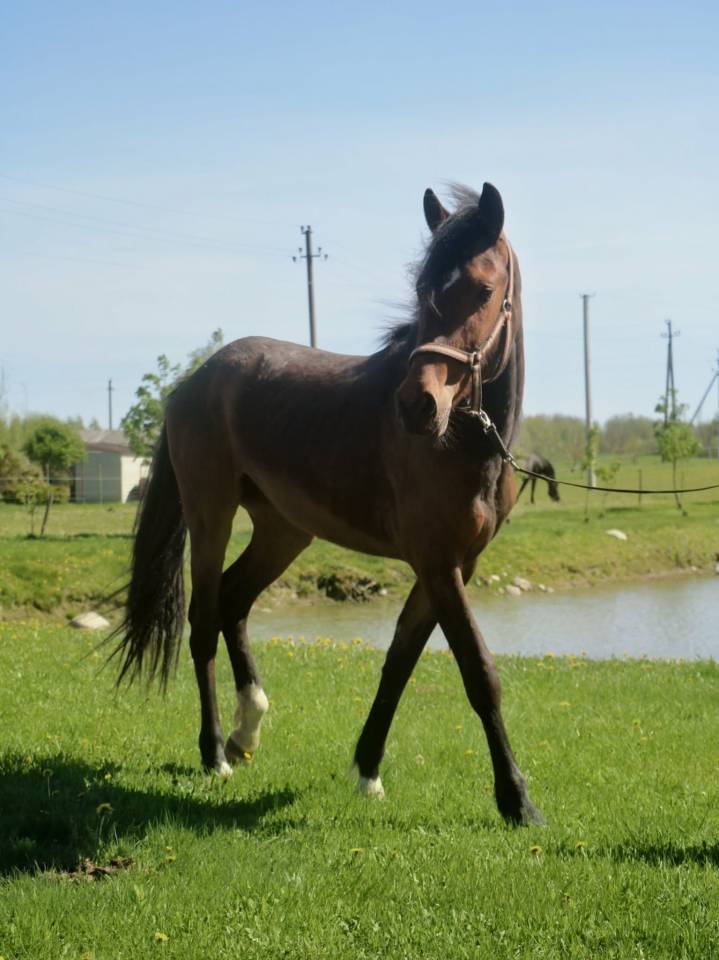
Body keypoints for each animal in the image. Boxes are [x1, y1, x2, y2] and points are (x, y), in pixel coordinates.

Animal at [113, 181, 544, 826]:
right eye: (423, 290)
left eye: (484, 290)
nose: (415, 405)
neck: (467, 445)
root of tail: (194, 380)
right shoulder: (439, 564)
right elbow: (479, 672)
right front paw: (516, 799)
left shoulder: (453, 567)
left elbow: (400, 661)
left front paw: (367, 769)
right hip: (211, 515)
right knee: (205, 618)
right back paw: (213, 752)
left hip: (285, 530)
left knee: (234, 602)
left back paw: (247, 731)